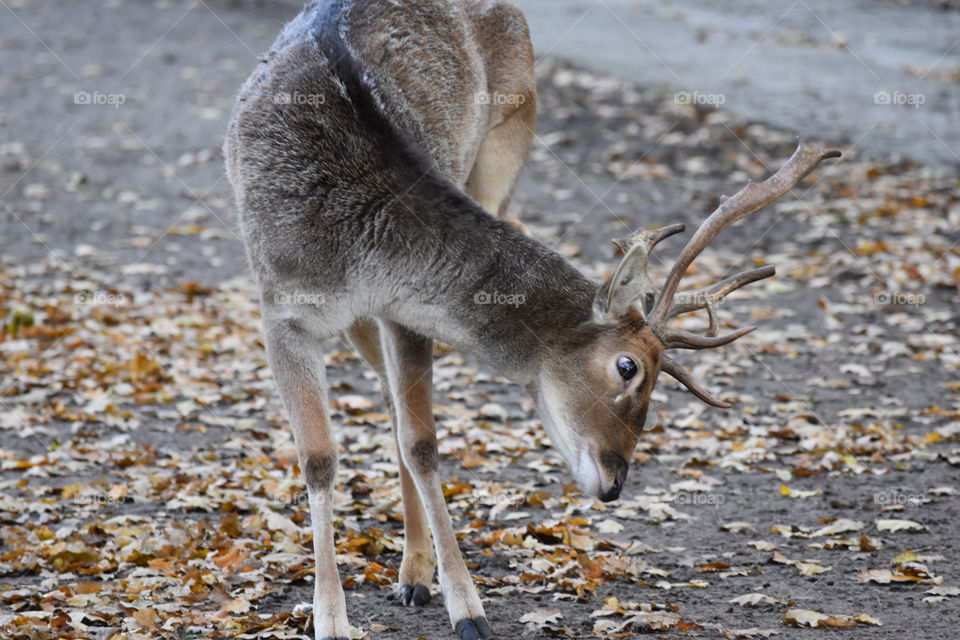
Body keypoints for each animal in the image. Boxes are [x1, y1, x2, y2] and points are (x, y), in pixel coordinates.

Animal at [221, 1, 836, 640]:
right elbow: (319, 459)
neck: (354, 243)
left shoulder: (402, 311)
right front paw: (332, 620)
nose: (615, 483)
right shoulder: (281, 309)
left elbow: (421, 443)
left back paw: (414, 573)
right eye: (628, 368)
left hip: (506, 144)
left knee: (397, 407)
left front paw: (465, 606)